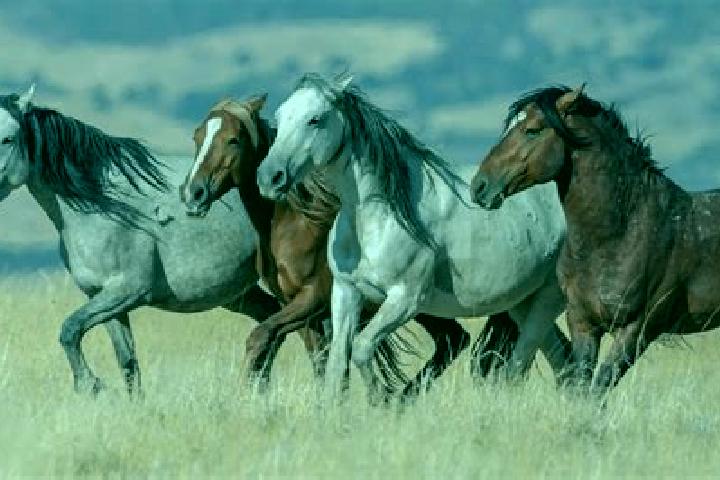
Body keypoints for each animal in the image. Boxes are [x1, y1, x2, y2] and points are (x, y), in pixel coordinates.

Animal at [0, 85, 286, 396]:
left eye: (8, 138)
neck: (103, 206)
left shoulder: (128, 291)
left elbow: (69, 330)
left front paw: (90, 384)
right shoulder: (103, 298)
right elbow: (127, 363)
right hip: (237, 293)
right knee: (271, 320)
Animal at [179, 95, 521, 397]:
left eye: (233, 140)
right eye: (197, 137)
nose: (193, 193)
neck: (295, 224)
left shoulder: (312, 299)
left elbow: (261, 337)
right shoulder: (303, 310)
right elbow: (319, 361)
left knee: (456, 341)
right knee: (453, 340)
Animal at [255, 73, 572, 401]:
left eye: (315, 119)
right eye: (279, 118)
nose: (270, 177)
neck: (377, 219)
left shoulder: (404, 299)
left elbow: (362, 348)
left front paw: (382, 401)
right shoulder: (345, 292)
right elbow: (337, 364)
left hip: (547, 299)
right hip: (521, 302)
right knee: (561, 358)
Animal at [472, 85, 720, 394]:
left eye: (532, 130)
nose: (479, 186)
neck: (620, 235)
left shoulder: (637, 329)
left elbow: (598, 388)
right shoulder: (582, 323)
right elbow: (582, 386)